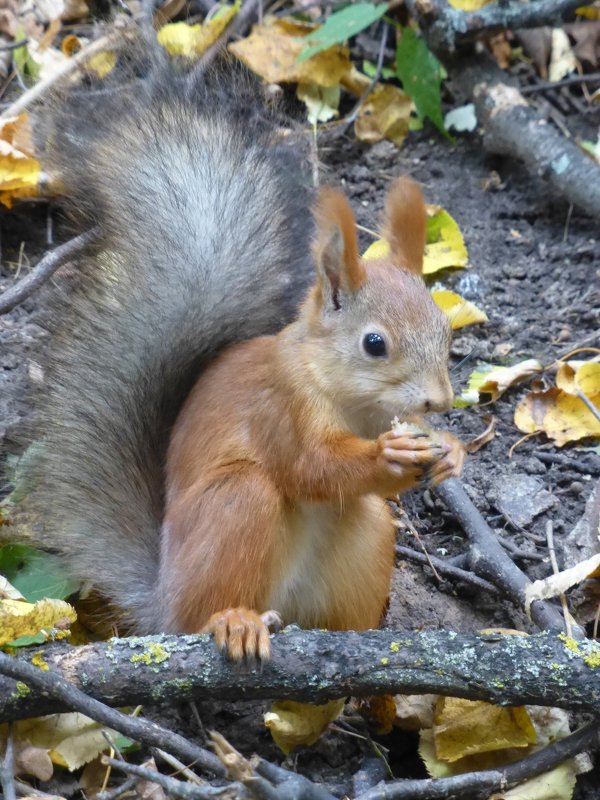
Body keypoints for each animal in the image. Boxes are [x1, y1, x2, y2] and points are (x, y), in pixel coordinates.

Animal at [17, 62, 464, 660]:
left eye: (446, 331)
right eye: (375, 343)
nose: (440, 400)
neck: (353, 403)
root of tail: (162, 608)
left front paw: (452, 452)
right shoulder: (279, 408)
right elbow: (311, 467)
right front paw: (388, 455)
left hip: (364, 540)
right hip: (236, 507)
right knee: (217, 586)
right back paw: (234, 622)